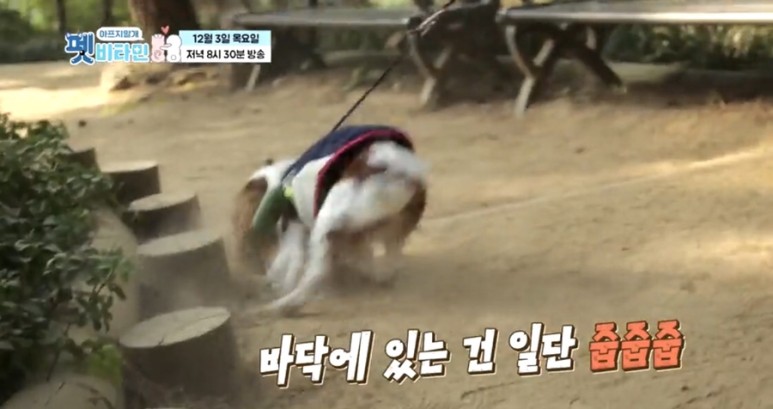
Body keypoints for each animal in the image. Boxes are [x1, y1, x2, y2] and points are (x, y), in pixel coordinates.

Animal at [232, 125, 428, 315]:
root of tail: (396, 169)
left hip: (327, 221)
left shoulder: (295, 233)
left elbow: (287, 268)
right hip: (387, 231)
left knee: (314, 276)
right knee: (389, 262)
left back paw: (276, 307)